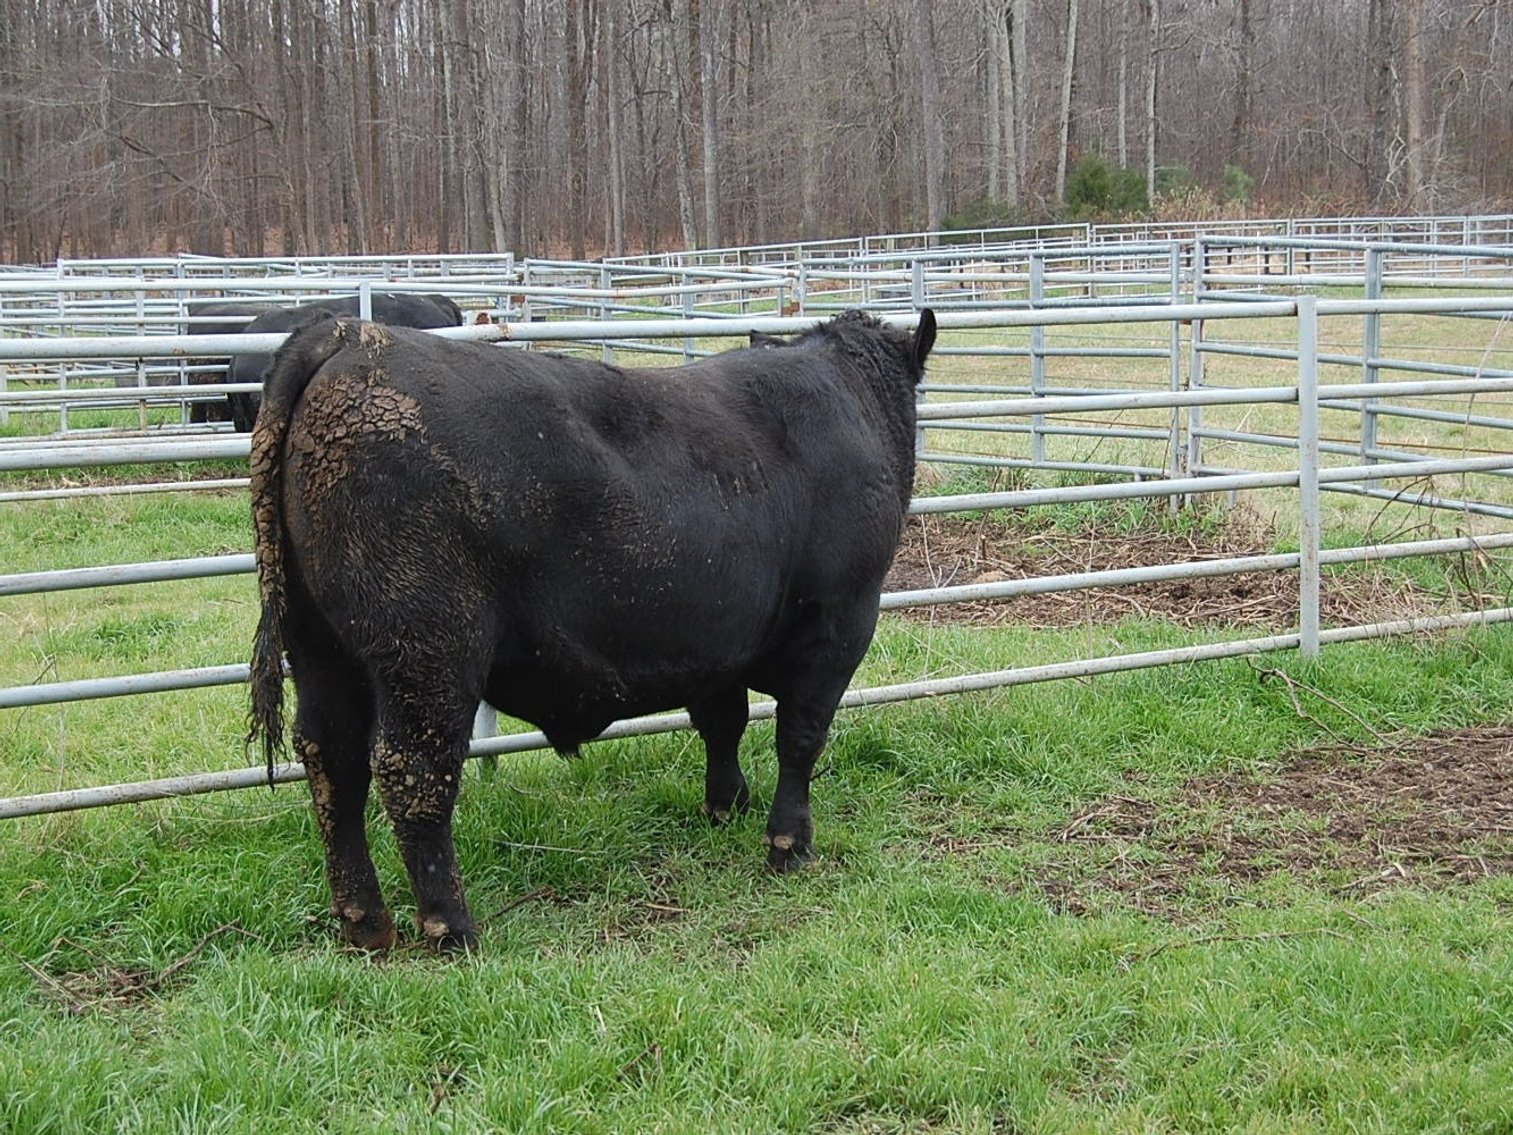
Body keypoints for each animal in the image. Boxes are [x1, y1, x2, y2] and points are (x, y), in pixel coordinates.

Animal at [247, 308, 937, 951]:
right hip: (427, 649)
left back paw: (364, 921)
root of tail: (349, 336)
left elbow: (724, 722)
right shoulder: (840, 622)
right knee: (413, 771)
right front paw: (789, 844)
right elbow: (800, 738)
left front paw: (726, 805)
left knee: (333, 760)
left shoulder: (715, 640)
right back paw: (452, 927)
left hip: (320, 648)